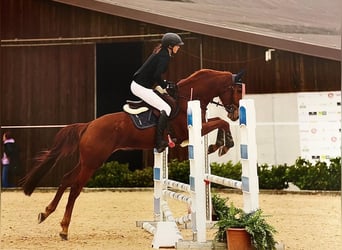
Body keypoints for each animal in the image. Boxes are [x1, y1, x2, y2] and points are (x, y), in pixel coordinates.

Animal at [20, 68, 243, 240]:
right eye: (237, 91)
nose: (236, 114)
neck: (187, 99)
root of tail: (88, 125)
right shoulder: (189, 131)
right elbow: (220, 122)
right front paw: (222, 145)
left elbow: (219, 121)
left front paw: (218, 145)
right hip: (93, 162)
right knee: (75, 188)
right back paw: (64, 228)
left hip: (87, 161)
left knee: (66, 179)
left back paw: (46, 213)